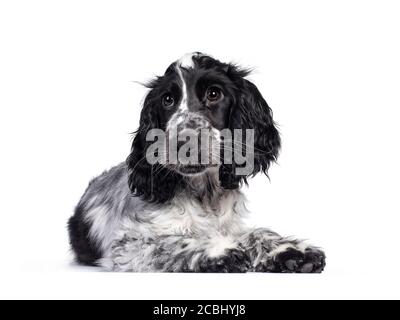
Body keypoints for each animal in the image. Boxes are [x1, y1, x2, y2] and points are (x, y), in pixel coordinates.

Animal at [68, 52, 324, 272]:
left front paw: (291, 250)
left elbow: (256, 233)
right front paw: (218, 250)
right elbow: (174, 242)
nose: (182, 142)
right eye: (167, 99)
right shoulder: (129, 243)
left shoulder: (231, 224)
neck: (205, 195)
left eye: (214, 94)